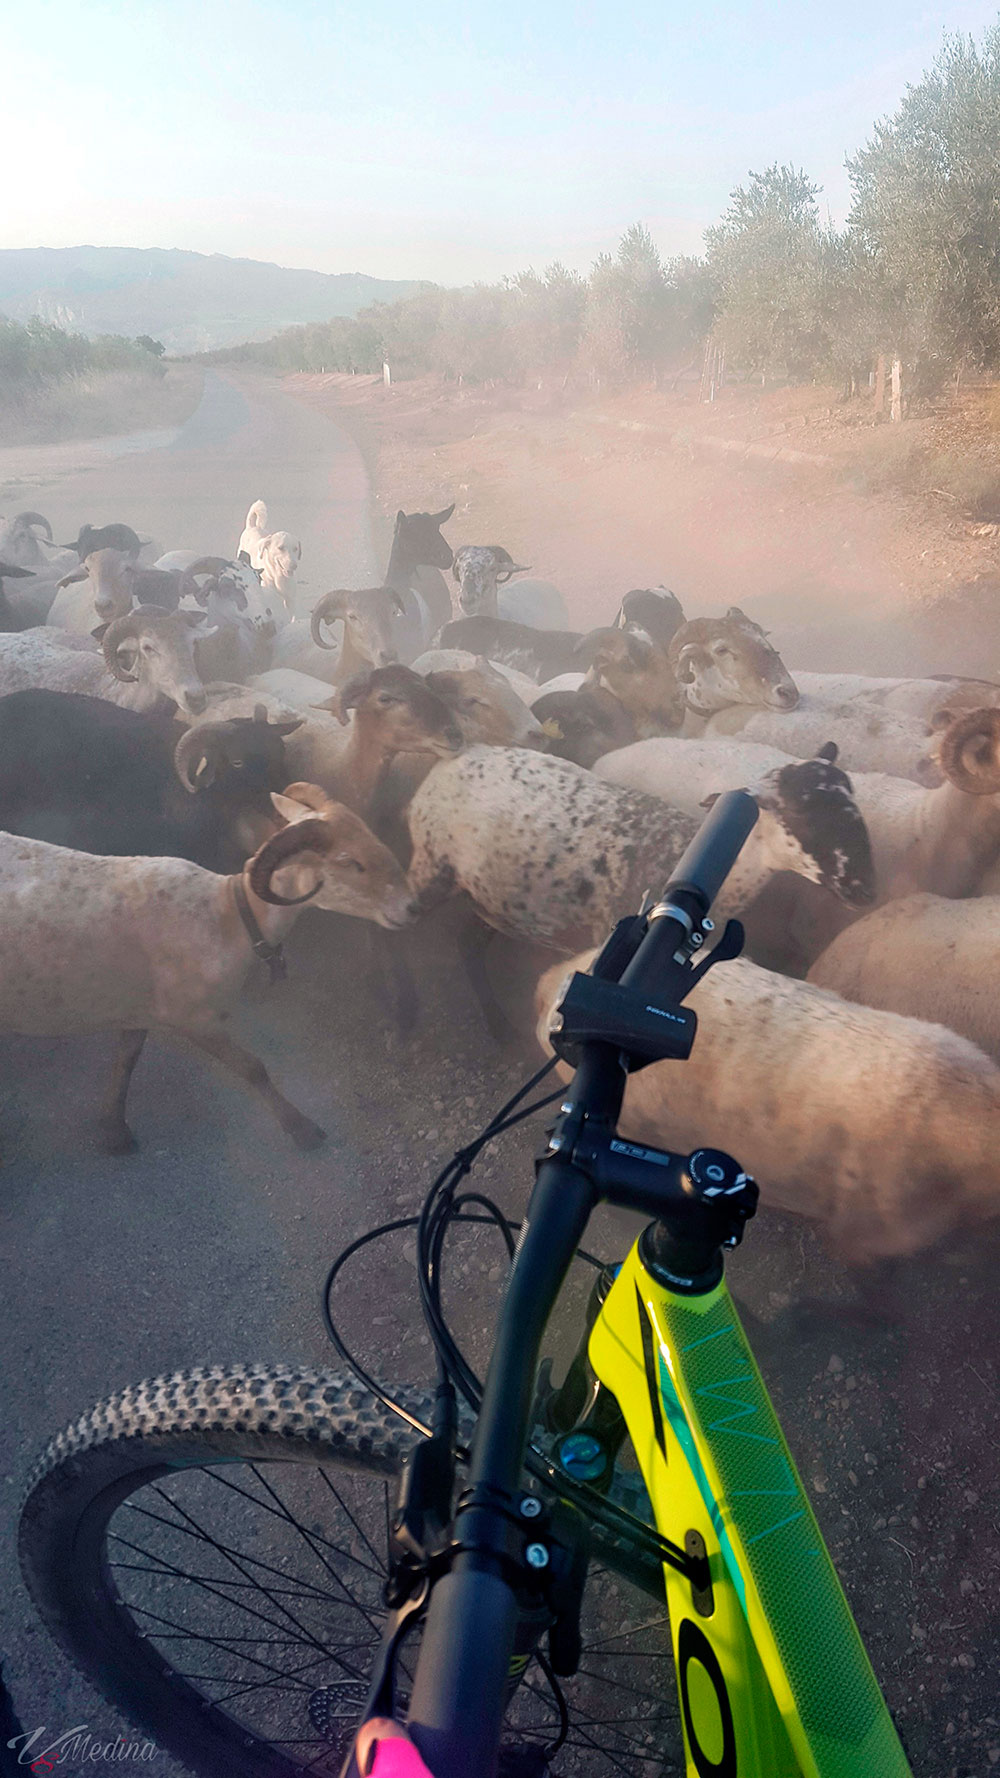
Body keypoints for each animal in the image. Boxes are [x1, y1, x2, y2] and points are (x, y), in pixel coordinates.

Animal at [0, 789, 411, 1152]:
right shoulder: (194, 1018)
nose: (411, 906)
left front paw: (114, 1131)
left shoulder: (137, 1009)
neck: (230, 914)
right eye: (350, 861)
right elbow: (253, 1068)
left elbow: (125, 1063)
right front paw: (303, 1130)